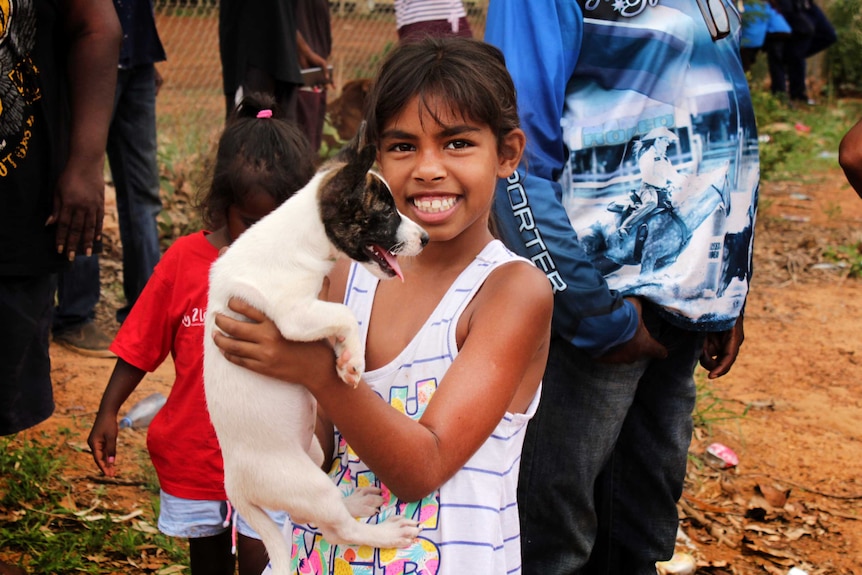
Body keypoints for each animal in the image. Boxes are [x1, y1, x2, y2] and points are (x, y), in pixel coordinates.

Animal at [203, 127, 432, 575]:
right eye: (386, 212)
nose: (426, 239)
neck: (301, 238)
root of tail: (235, 487)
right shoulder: (293, 315)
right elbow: (345, 314)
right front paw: (352, 362)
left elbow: (340, 317)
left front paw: (345, 355)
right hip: (306, 483)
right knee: (339, 530)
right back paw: (384, 533)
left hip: (311, 449)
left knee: (323, 521)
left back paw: (356, 502)